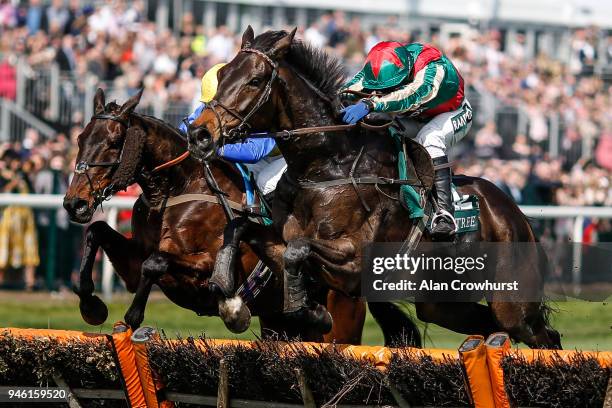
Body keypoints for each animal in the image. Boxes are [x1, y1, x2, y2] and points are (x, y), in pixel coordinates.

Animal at [63, 88, 416, 344]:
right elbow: (99, 232)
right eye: (81, 138)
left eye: (112, 143)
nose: (74, 203)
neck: (175, 189)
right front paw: (91, 305)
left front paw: (132, 319)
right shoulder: (134, 262)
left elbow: (157, 262)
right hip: (278, 323)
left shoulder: (205, 266)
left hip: (341, 321)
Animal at [189, 27, 560, 350]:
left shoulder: (354, 264)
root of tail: (517, 216)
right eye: (222, 76)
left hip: (512, 302)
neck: (326, 165)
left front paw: (310, 311)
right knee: (490, 325)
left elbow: (298, 250)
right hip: (443, 302)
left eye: (254, 80)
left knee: (543, 336)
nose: (200, 134)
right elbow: (241, 228)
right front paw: (228, 293)